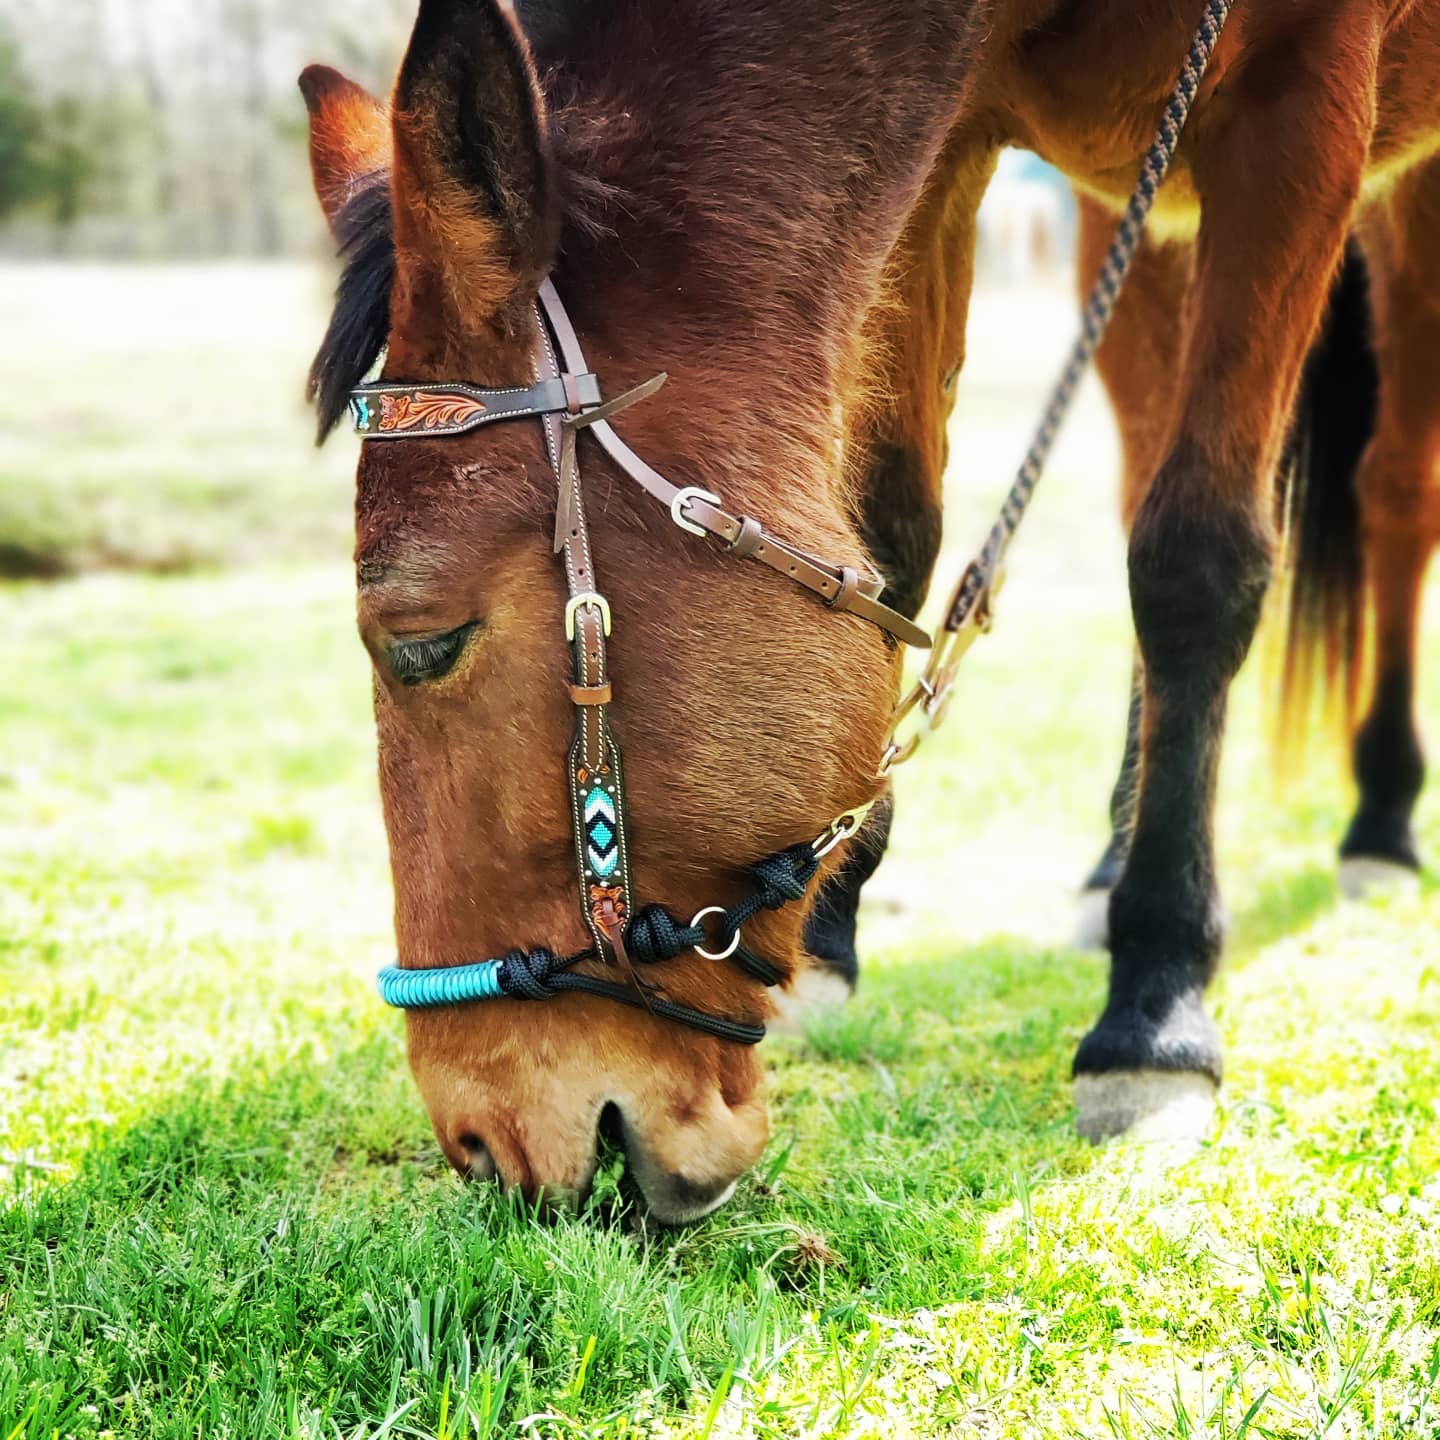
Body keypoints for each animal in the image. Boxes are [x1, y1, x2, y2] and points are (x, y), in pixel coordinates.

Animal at [303, 0, 1440, 1221]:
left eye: (424, 645)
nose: (479, 1140)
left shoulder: (1300, 103)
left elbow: (1196, 564)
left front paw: (1156, 1008)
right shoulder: (946, 148)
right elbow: (891, 535)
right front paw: (834, 938)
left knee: (1389, 499)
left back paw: (1376, 818)